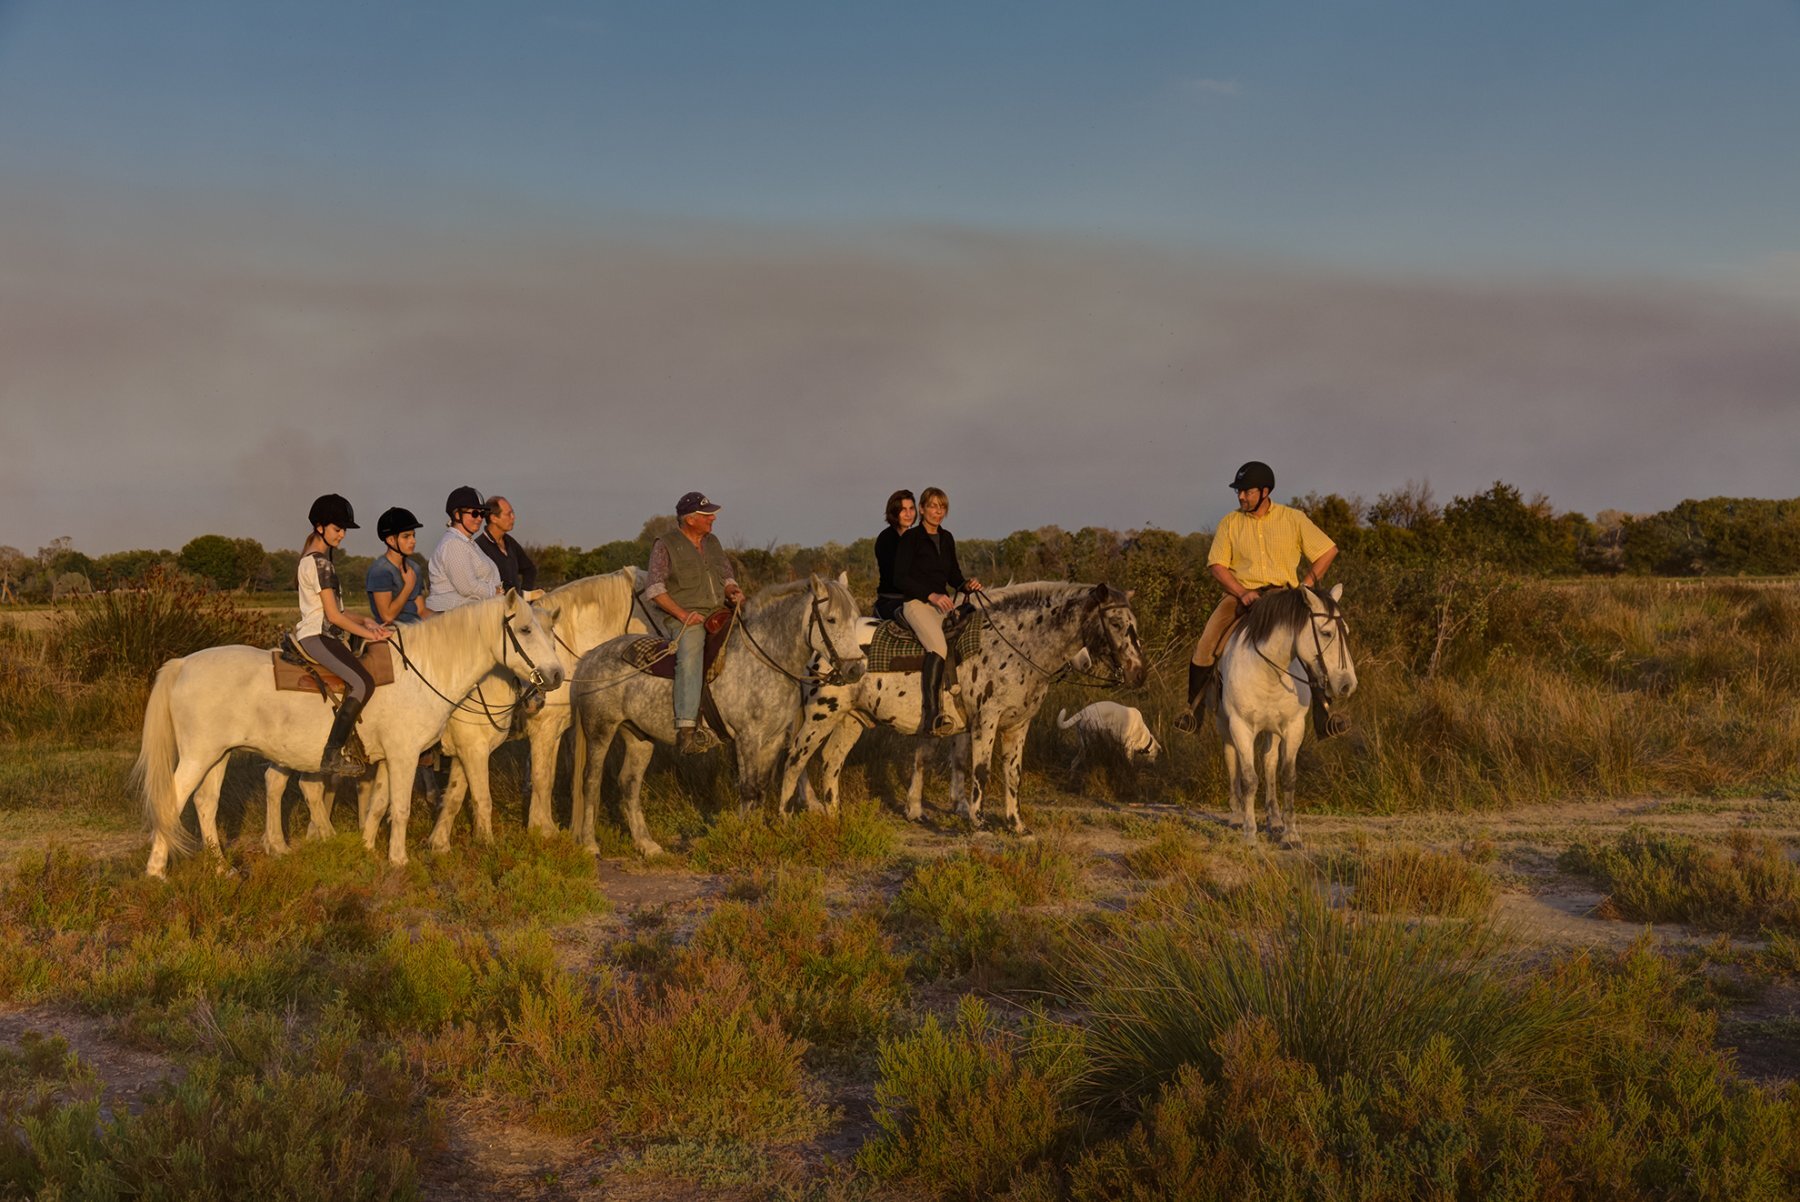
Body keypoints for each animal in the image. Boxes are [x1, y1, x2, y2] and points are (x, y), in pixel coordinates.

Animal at [132, 590, 563, 875]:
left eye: (550, 631)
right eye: (525, 629)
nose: (556, 675)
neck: (422, 671)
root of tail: (182, 664)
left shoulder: (390, 758)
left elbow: (379, 804)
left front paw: (369, 849)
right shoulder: (411, 754)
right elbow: (405, 807)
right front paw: (399, 860)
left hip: (219, 755)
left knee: (207, 802)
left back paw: (223, 866)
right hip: (199, 754)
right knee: (175, 799)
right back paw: (156, 871)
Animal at [568, 574, 866, 856]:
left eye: (854, 620)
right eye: (831, 619)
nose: (855, 670)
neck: (763, 660)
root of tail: (591, 656)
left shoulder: (772, 740)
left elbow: (760, 789)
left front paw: (757, 834)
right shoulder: (748, 738)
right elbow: (748, 789)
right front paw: (745, 838)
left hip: (639, 736)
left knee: (629, 783)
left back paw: (646, 845)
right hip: (600, 730)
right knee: (591, 781)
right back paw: (590, 845)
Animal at [776, 582, 1146, 834]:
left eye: (1133, 623)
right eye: (1115, 623)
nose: (1137, 673)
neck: (1015, 646)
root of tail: (817, 648)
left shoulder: (1017, 725)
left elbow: (1012, 773)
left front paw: (1017, 825)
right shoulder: (986, 721)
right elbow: (980, 771)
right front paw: (977, 822)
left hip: (851, 719)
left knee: (831, 761)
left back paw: (835, 817)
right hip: (820, 714)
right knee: (795, 760)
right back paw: (784, 817)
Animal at [1212, 584, 1355, 848]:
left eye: (1346, 631)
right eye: (1326, 633)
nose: (1347, 684)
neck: (1269, 670)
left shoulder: (1293, 727)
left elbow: (1287, 777)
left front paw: (1290, 834)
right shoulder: (1241, 726)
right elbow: (1249, 779)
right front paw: (1249, 833)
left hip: (1273, 730)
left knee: (1269, 763)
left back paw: (1275, 821)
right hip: (1224, 724)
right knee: (1231, 757)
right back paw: (1236, 816)